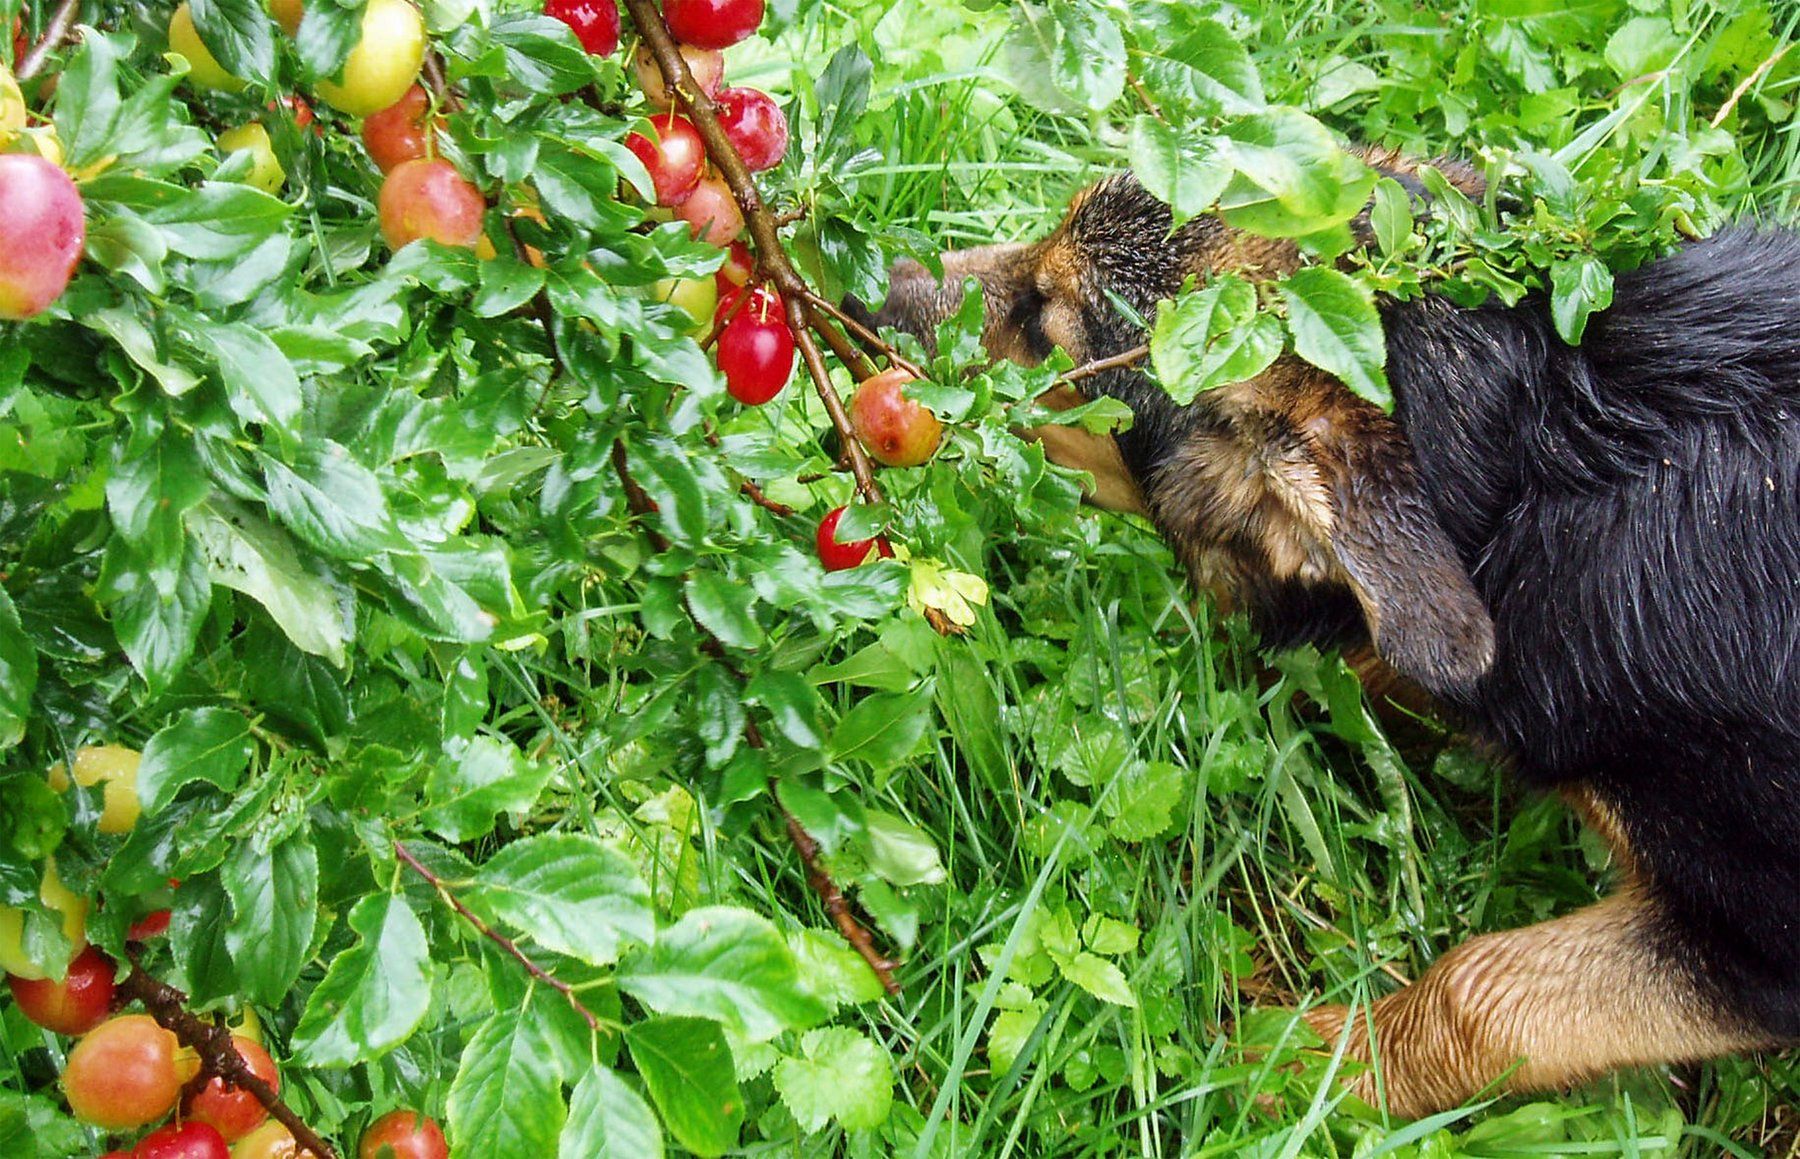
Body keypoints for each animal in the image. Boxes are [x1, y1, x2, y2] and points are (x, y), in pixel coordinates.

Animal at [853, 158, 1800, 1115]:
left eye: (1048, 325)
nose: (862, 282)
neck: (1540, 465)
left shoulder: (1754, 939)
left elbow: (1475, 997)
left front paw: (1283, 1063)